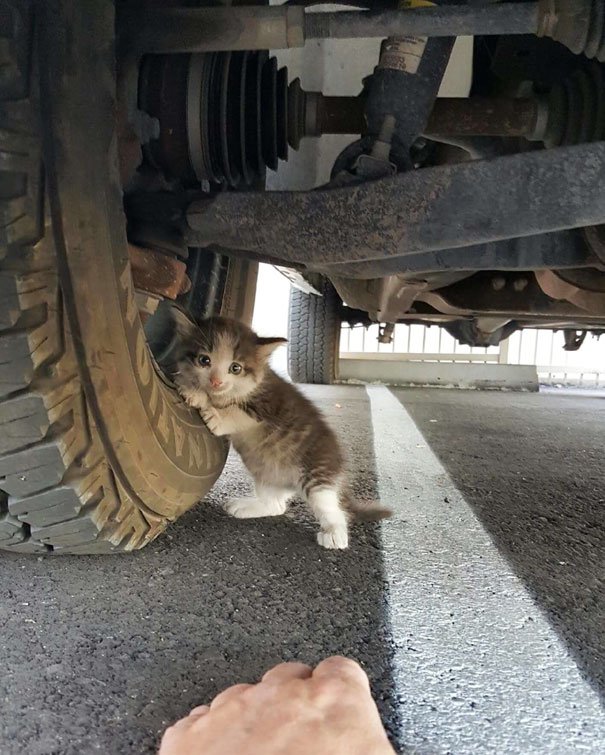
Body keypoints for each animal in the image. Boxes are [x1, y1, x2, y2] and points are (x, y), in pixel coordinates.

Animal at [168, 308, 390, 548]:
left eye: (235, 368)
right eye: (204, 360)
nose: (216, 381)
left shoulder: (269, 405)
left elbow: (236, 411)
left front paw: (209, 407)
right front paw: (192, 388)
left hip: (317, 474)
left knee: (331, 507)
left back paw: (335, 534)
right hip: (266, 475)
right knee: (276, 506)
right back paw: (246, 506)